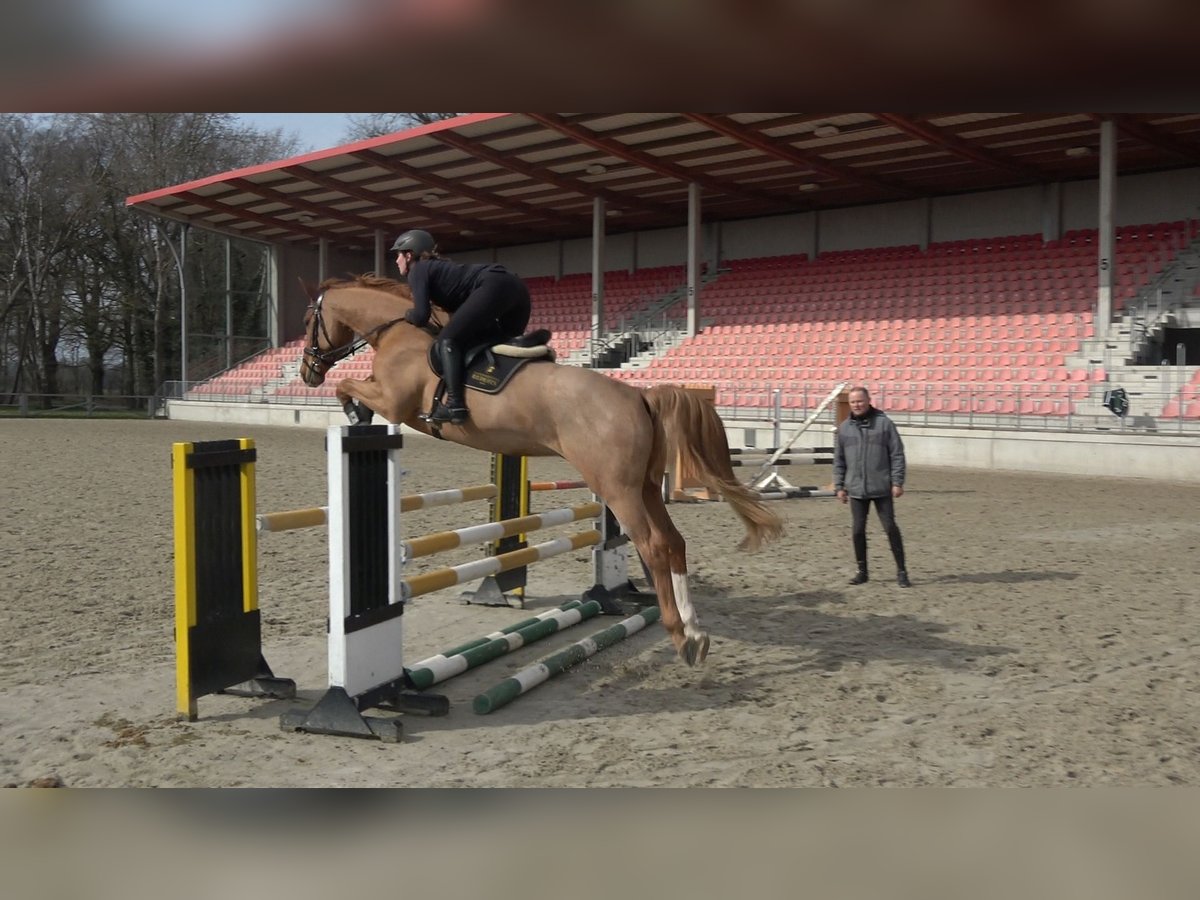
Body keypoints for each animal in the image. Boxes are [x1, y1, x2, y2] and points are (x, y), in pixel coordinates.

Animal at [300, 273, 782, 662]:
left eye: (308, 319)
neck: (399, 333)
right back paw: (695, 630)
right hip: (642, 486)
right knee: (675, 541)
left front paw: (354, 412)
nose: (307, 373)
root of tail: (637, 395)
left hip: (617, 489)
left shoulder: (395, 402)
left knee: (654, 545)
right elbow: (354, 385)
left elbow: (350, 386)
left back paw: (681, 636)